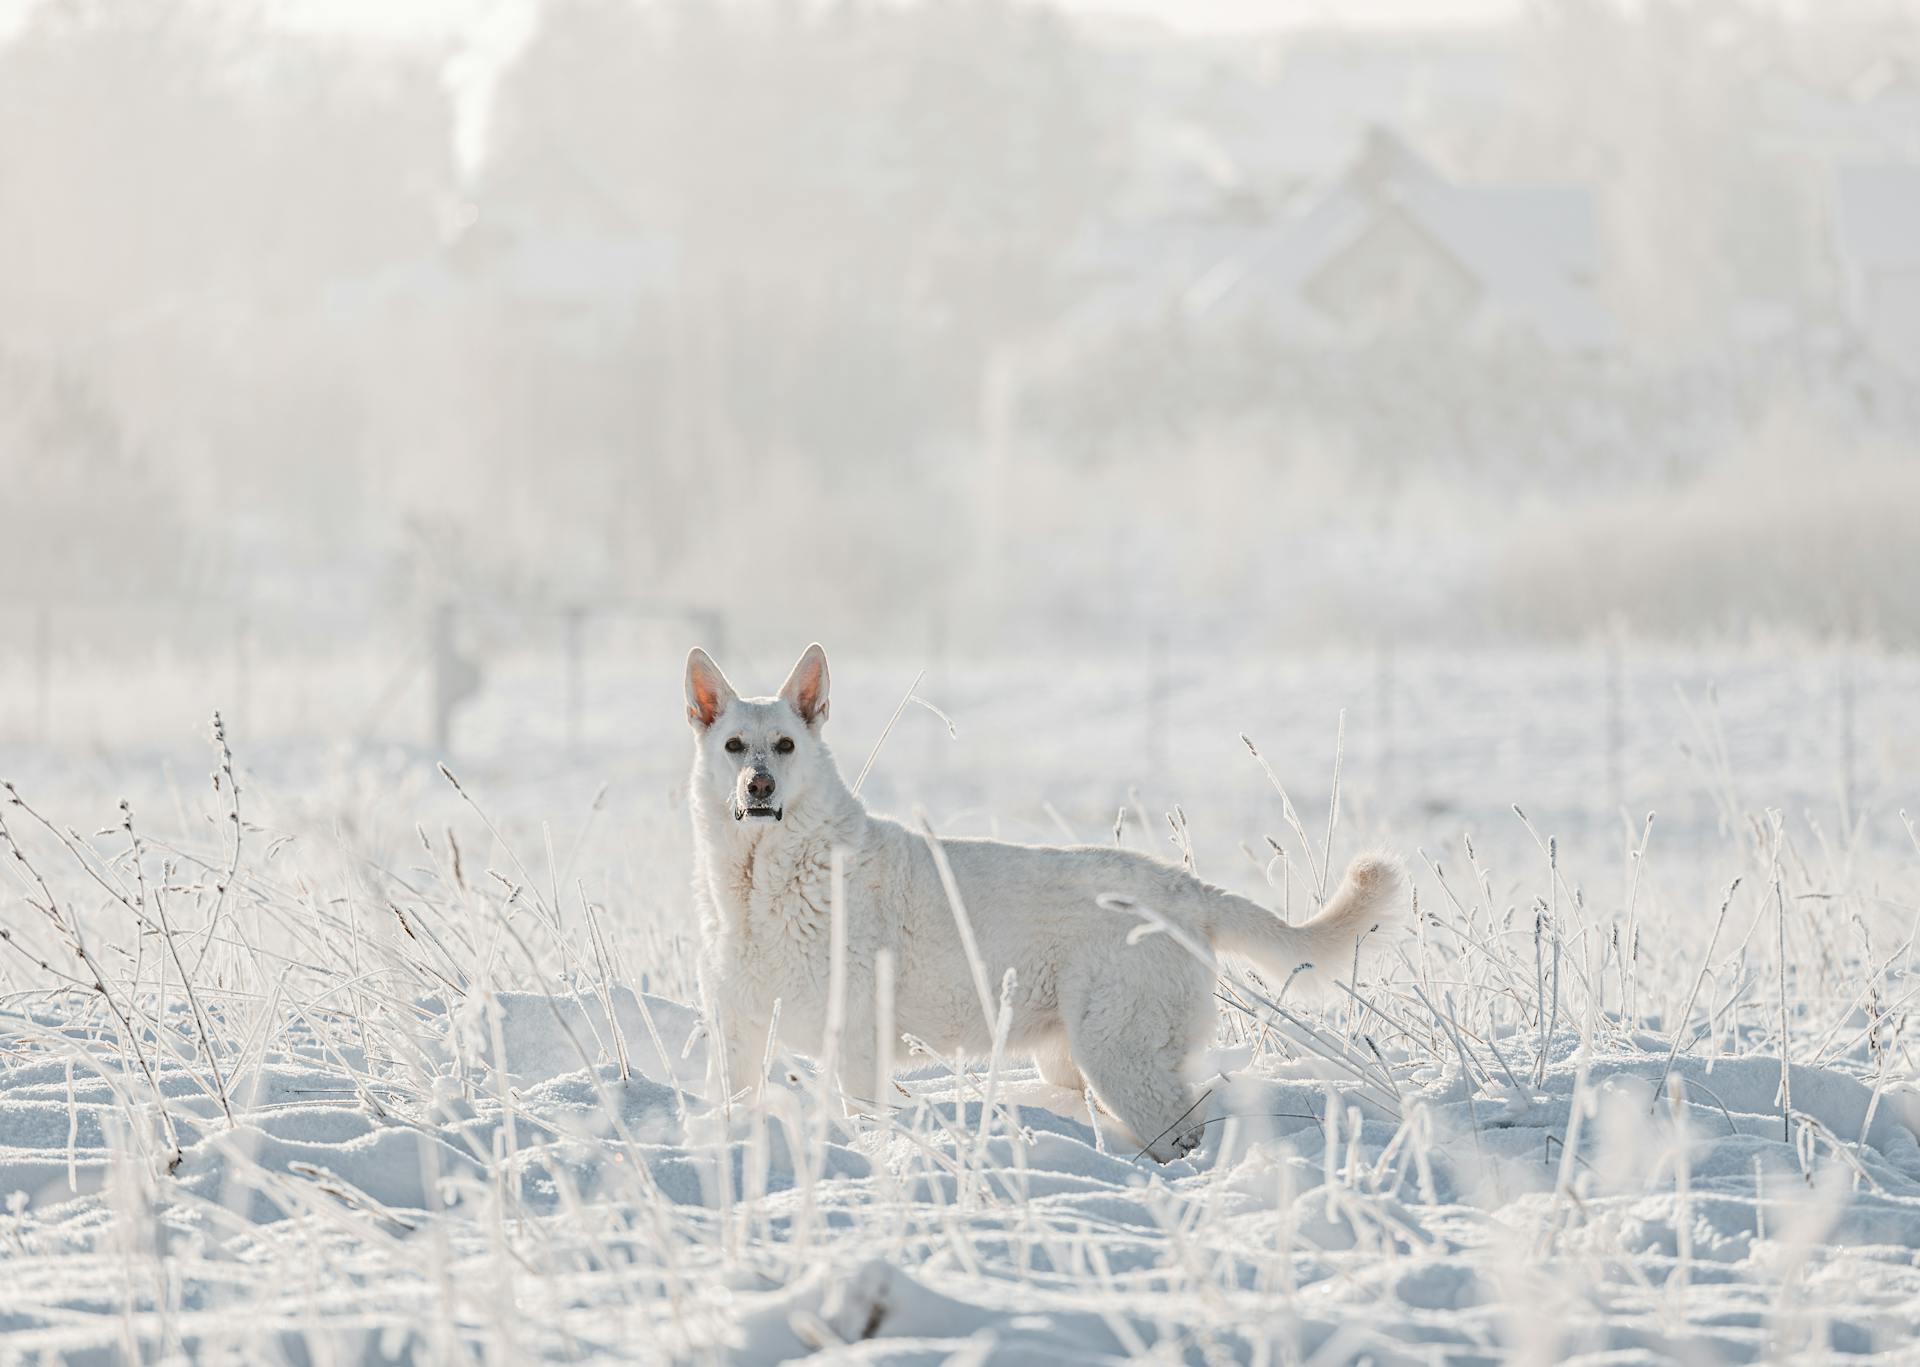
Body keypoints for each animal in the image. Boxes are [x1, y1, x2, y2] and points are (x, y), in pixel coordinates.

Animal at [683, 645, 1405, 1159]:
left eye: (785, 745)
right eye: (733, 746)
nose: (759, 786)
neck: (763, 882)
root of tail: (1185, 891)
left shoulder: (858, 1044)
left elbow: (865, 1117)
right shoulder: (738, 1035)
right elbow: (734, 1101)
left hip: (1119, 1056)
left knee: (1186, 1131)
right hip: (1074, 1057)